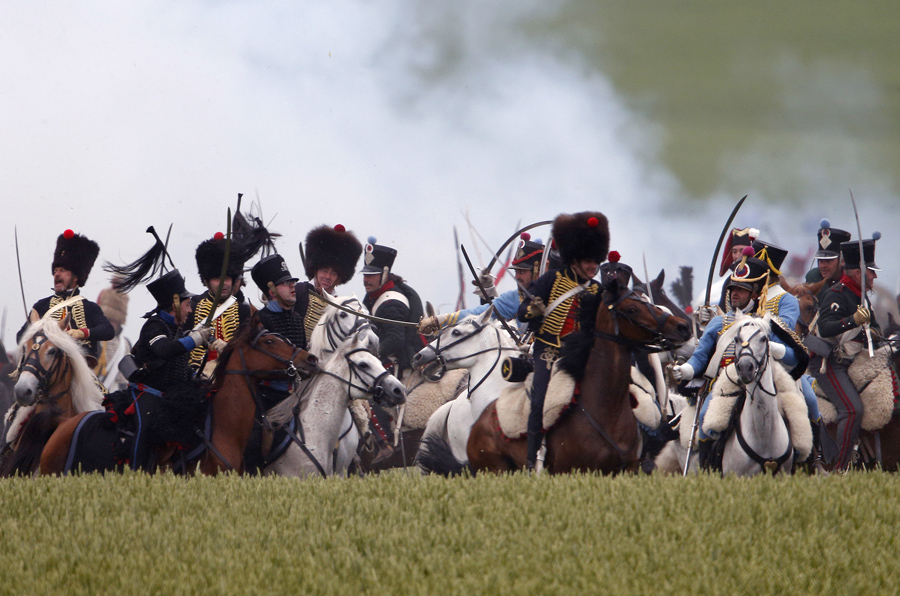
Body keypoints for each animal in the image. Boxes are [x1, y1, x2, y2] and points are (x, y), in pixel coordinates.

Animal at [464, 280, 688, 474]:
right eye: (632, 309)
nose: (682, 326)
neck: (605, 410)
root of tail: (479, 421)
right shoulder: (571, 471)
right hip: (495, 469)